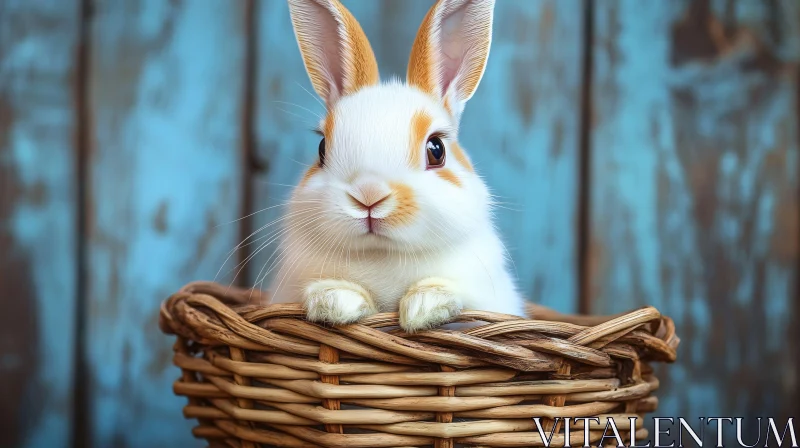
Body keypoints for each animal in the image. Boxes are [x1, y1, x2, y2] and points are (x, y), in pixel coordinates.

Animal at [266, 0, 528, 330]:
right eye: (322, 148)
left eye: (436, 149)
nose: (369, 195)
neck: (383, 254)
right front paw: (335, 301)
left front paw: (425, 306)